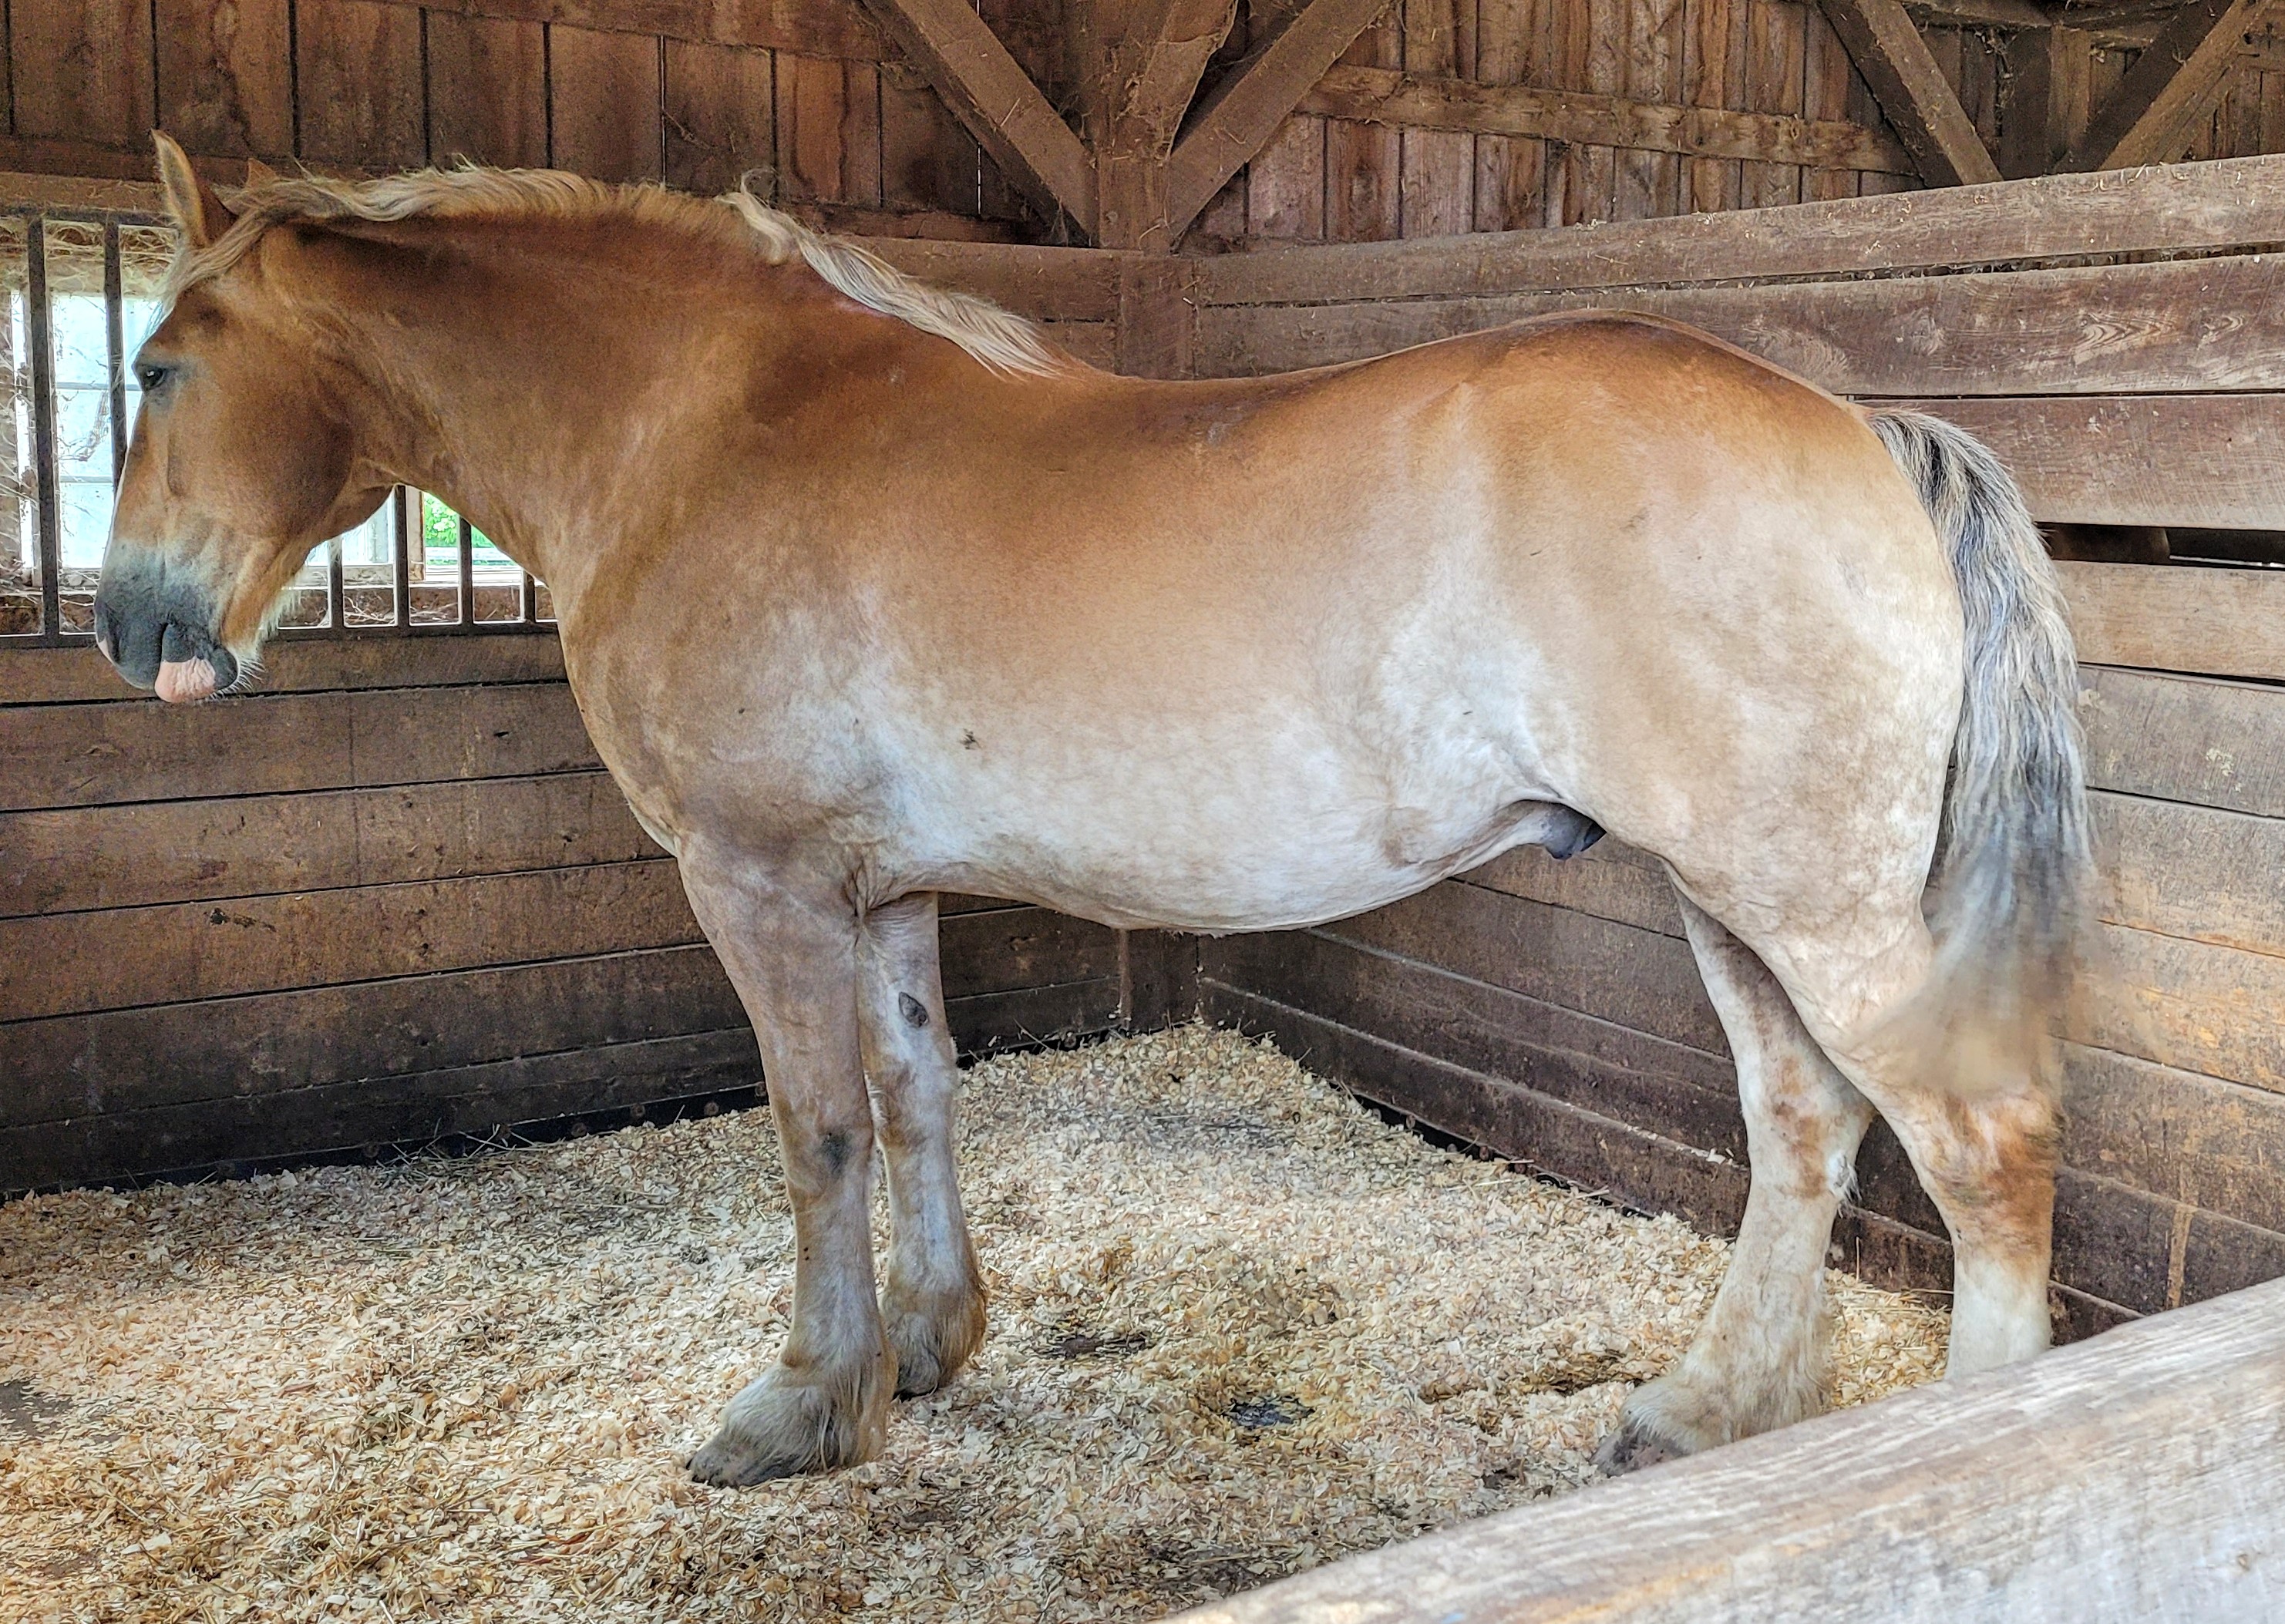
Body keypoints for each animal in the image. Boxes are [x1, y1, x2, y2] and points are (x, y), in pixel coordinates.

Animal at [98, 133, 2086, 1486]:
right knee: (1802, 1130)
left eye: (155, 364)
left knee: (1980, 1149)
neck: (709, 428)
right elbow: (913, 1099)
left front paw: (798, 1406)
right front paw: (925, 1345)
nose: (136, 629)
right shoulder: (880, 892)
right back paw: (1707, 1413)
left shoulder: (758, 882)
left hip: (1814, 904)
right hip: (1721, 893)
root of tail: (1861, 432)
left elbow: (816, 1131)